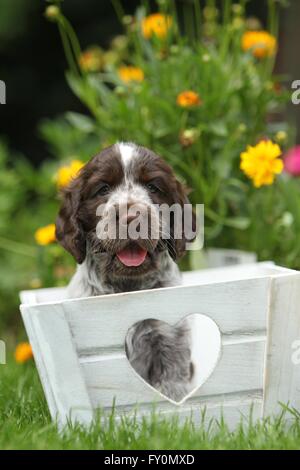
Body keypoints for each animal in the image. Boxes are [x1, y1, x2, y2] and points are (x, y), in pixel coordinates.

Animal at [55, 142, 197, 400]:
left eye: (153, 187)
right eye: (103, 189)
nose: (132, 217)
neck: (127, 287)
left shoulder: (169, 340)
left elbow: (170, 387)